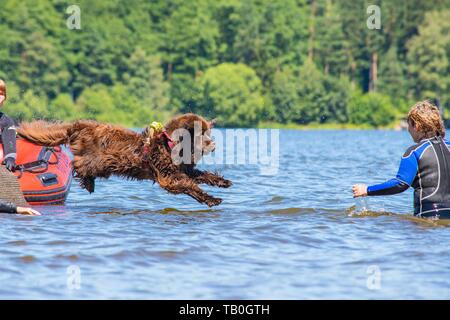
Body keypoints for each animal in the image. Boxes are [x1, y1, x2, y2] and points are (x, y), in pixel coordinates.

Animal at [16, 114, 232, 206]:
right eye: (202, 134)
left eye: (208, 132)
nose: (213, 143)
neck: (171, 145)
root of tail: (81, 126)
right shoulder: (168, 177)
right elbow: (189, 185)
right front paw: (212, 199)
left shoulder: (183, 169)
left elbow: (201, 175)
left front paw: (223, 182)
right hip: (98, 160)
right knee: (77, 164)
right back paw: (88, 182)